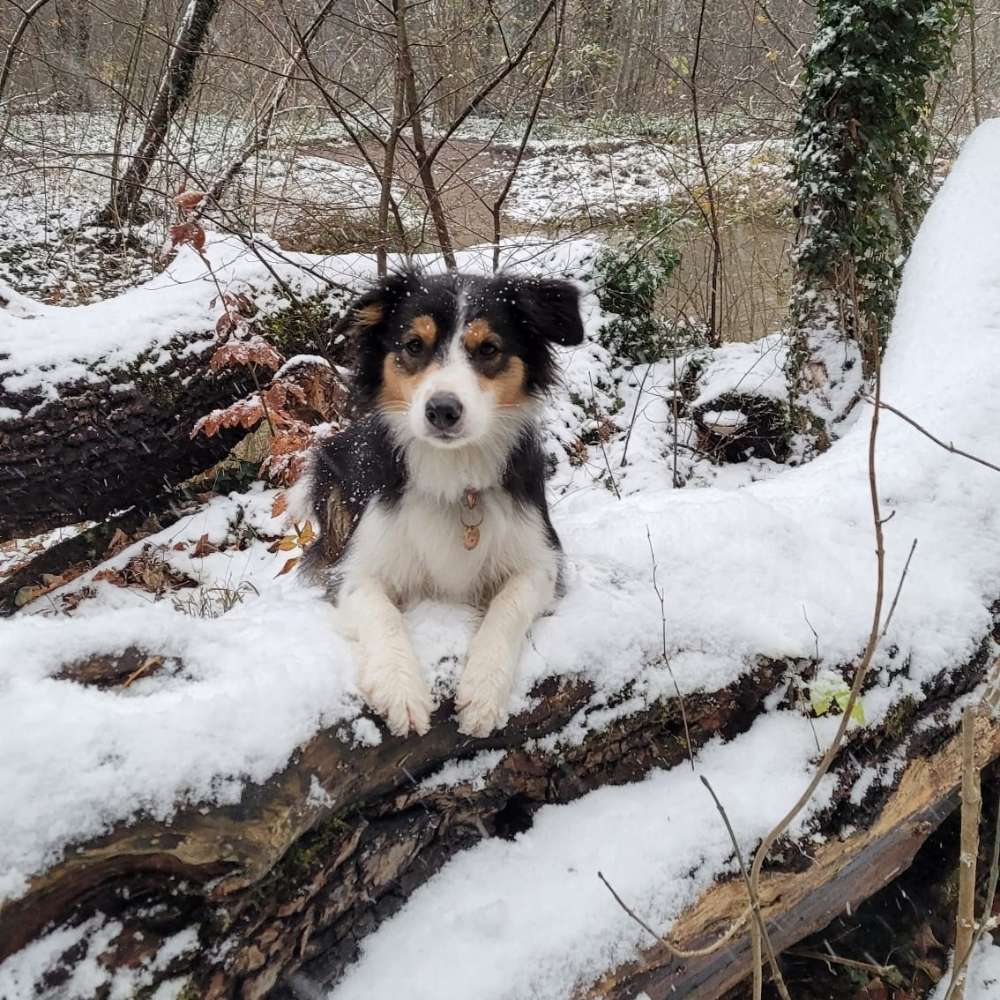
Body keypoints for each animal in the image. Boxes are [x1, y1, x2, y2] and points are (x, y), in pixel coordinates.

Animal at [292, 270, 584, 740]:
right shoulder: (356, 568)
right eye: (414, 345)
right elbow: (381, 613)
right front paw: (401, 690)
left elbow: (508, 606)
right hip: (327, 474)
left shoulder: (543, 560)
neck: (454, 474)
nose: (442, 410)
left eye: (488, 349)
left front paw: (483, 692)